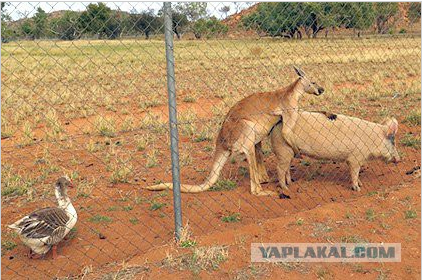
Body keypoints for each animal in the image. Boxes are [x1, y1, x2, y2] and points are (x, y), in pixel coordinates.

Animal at [268, 110, 400, 191]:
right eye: (393, 142)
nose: (399, 159)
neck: (372, 140)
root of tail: (277, 123)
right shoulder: (355, 158)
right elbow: (355, 173)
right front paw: (358, 189)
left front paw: (361, 184)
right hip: (283, 149)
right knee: (280, 168)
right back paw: (285, 188)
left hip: (289, 152)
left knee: (286, 168)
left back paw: (290, 183)